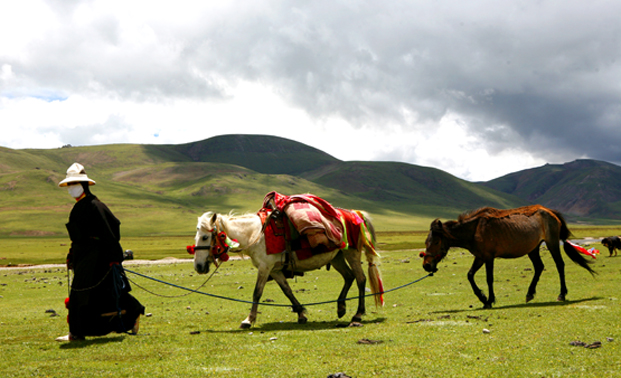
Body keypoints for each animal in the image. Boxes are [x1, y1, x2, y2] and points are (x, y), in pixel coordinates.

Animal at [191, 210, 380, 328]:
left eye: (205, 237)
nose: (198, 267)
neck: (255, 235)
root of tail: (355, 214)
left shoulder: (265, 267)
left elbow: (257, 292)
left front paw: (248, 320)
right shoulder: (275, 270)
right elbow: (287, 290)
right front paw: (301, 314)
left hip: (351, 252)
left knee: (360, 279)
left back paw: (358, 314)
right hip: (337, 257)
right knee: (349, 276)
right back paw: (341, 308)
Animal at [418, 205, 592, 308]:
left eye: (435, 241)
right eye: (426, 241)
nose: (426, 265)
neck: (475, 229)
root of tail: (550, 212)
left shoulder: (488, 257)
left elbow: (489, 278)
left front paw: (489, 300)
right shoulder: (480, 257)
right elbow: (470, 275)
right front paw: (482, 298)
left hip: (552, 242)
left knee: (559, 265)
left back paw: (561, 294)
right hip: (533, 248)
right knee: (539, 267)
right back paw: (529, 294)